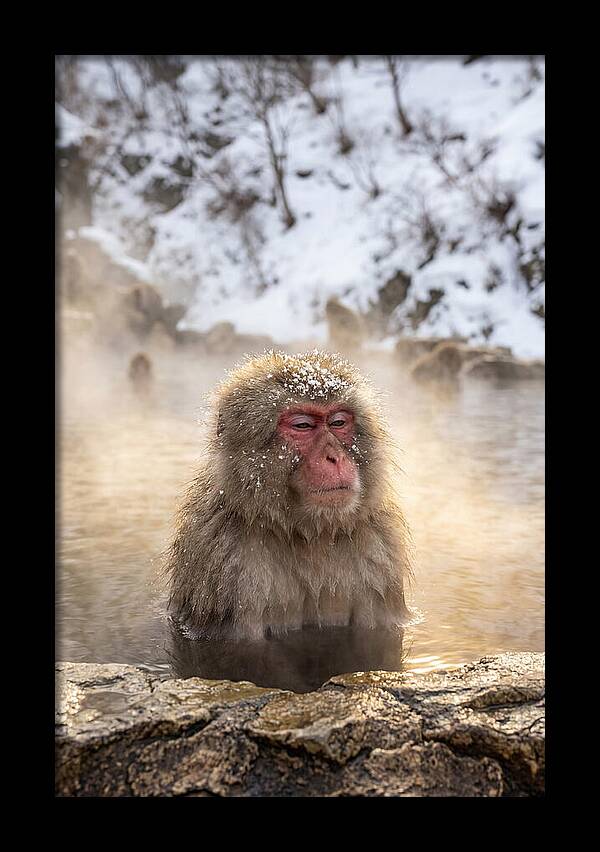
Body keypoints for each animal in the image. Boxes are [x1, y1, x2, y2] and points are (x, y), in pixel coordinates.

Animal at [166, 350, 412, 641]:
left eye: (338, 422)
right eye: (302, 425)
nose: (335, 457)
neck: (309, 534)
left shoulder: (380, 552)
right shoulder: (225, 563)